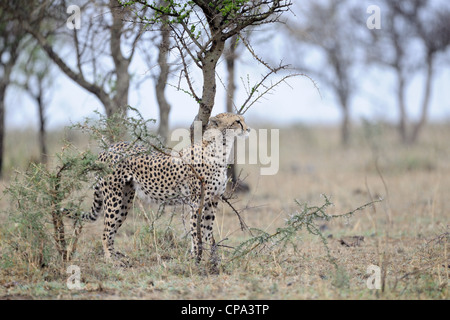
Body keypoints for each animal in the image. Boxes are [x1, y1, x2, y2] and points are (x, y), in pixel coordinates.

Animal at [72, 112, 251, 264]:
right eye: (237, 121)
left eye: (243, 120)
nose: (248, 129)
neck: (220, 150)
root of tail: (108, 147)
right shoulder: (196, 203)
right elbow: (196, 233)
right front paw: (196, 259)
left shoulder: (212, 201)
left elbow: (208, 232)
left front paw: (213, 260)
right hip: (114, 198)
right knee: (105, 232)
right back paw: (111, 260)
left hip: (125, 199)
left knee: (111, 230)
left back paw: (117, 256)